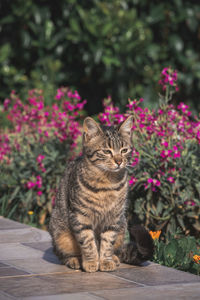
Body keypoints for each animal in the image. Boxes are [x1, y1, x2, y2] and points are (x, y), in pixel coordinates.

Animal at [48, 116, 155, 274]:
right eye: (106, 151)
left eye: (124, 150)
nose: (119, 161)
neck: (107, 184)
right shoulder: (80, 216)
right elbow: (88, 242)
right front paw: (91, 262)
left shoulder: (113, 217)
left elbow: (107, 242)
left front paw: (105, 261)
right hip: (60, 233)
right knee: (61, 254)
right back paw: (74, 260)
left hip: (122, 226)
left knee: (118, 250)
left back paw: (114, 258)